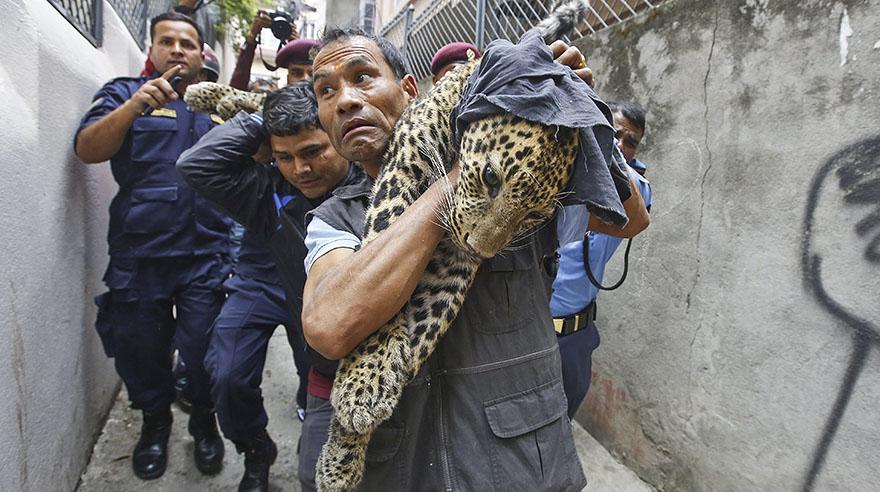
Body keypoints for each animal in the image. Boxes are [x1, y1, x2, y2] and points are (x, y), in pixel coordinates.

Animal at [316, 53, 584, 492]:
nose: (478, 249)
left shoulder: (450, 264)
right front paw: (364, 378)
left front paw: (348, 438)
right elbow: (378, 266)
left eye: (534, 216)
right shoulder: (405, 165)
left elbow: (423, 323)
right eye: (490, 178)